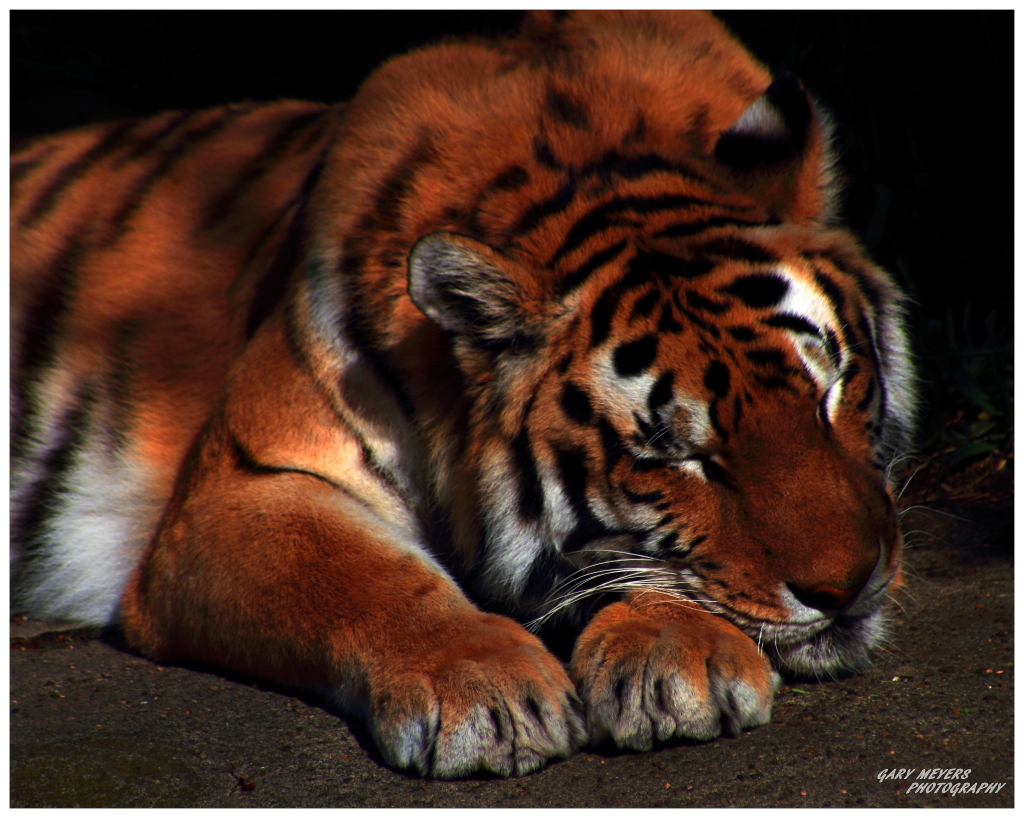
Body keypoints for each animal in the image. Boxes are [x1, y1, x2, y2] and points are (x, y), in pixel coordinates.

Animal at [11, 11, 916, 778]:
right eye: (673, 455)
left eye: (831, 390)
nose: (848, 586)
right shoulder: (239, 487)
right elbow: (364, 576)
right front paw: (487, 692)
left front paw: (675, 654)